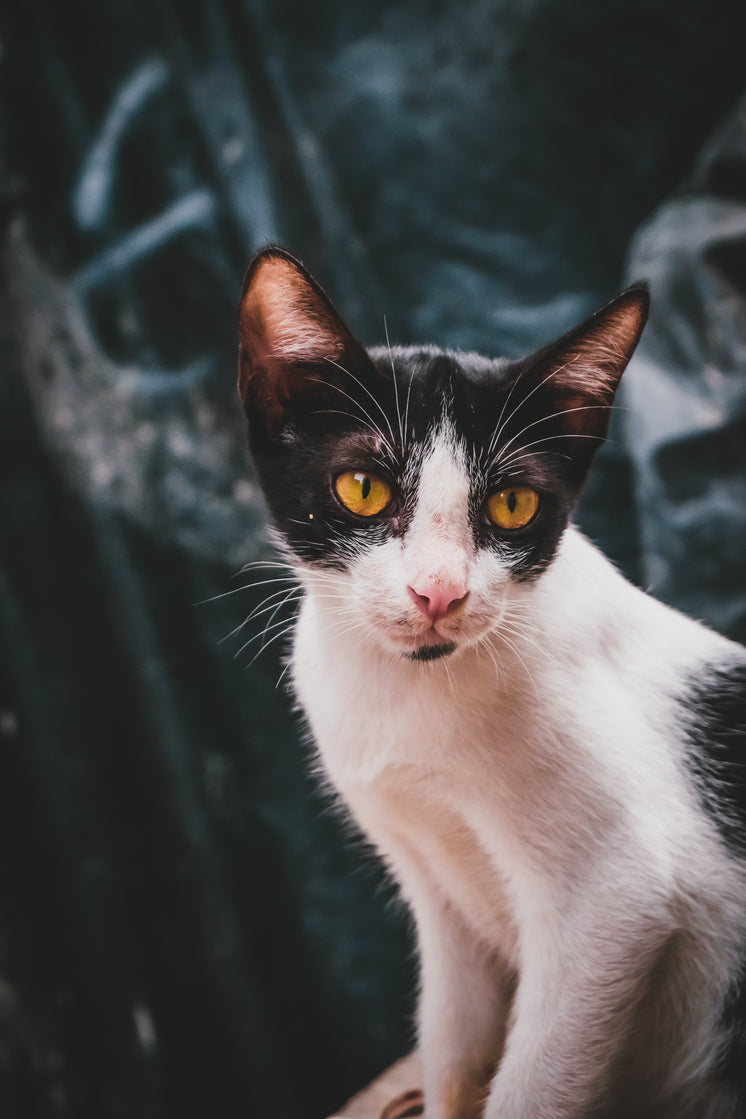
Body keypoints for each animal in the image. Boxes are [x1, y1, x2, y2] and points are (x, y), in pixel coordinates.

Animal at [235, 247, 746, 1119]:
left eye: (512, 503)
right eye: (363, 488)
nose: (438, 592)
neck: (412, 695)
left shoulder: (616, 898)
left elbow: (534, 1083)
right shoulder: (436, 891)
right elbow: (451, 1040)